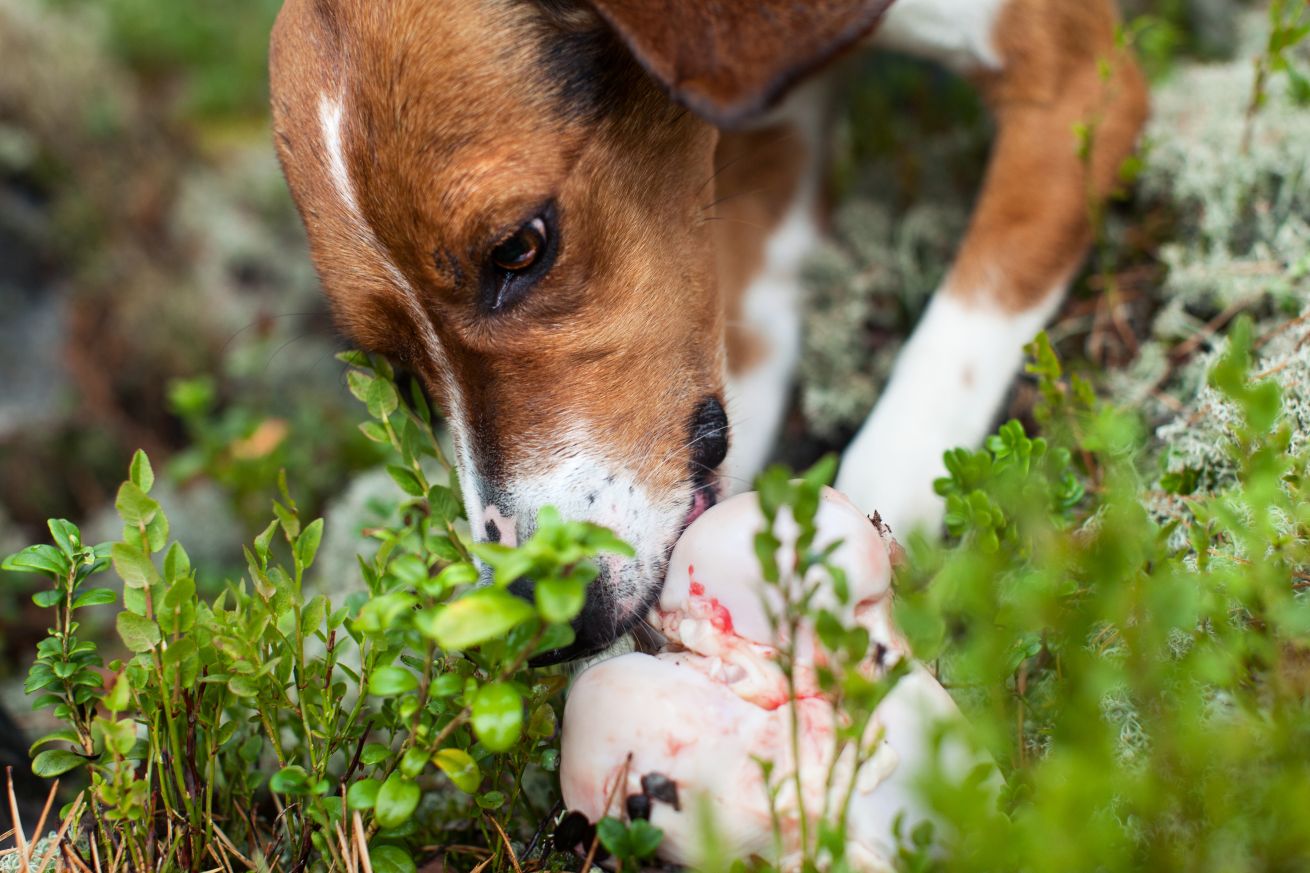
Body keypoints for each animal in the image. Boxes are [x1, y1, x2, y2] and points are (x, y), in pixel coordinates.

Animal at [268, 0, 1147, 655]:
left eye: (519, 247)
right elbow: (746, 335)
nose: (544, 625)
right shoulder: (771, 134)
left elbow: (972, 311)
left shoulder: (1077, 88)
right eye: (400, 374)